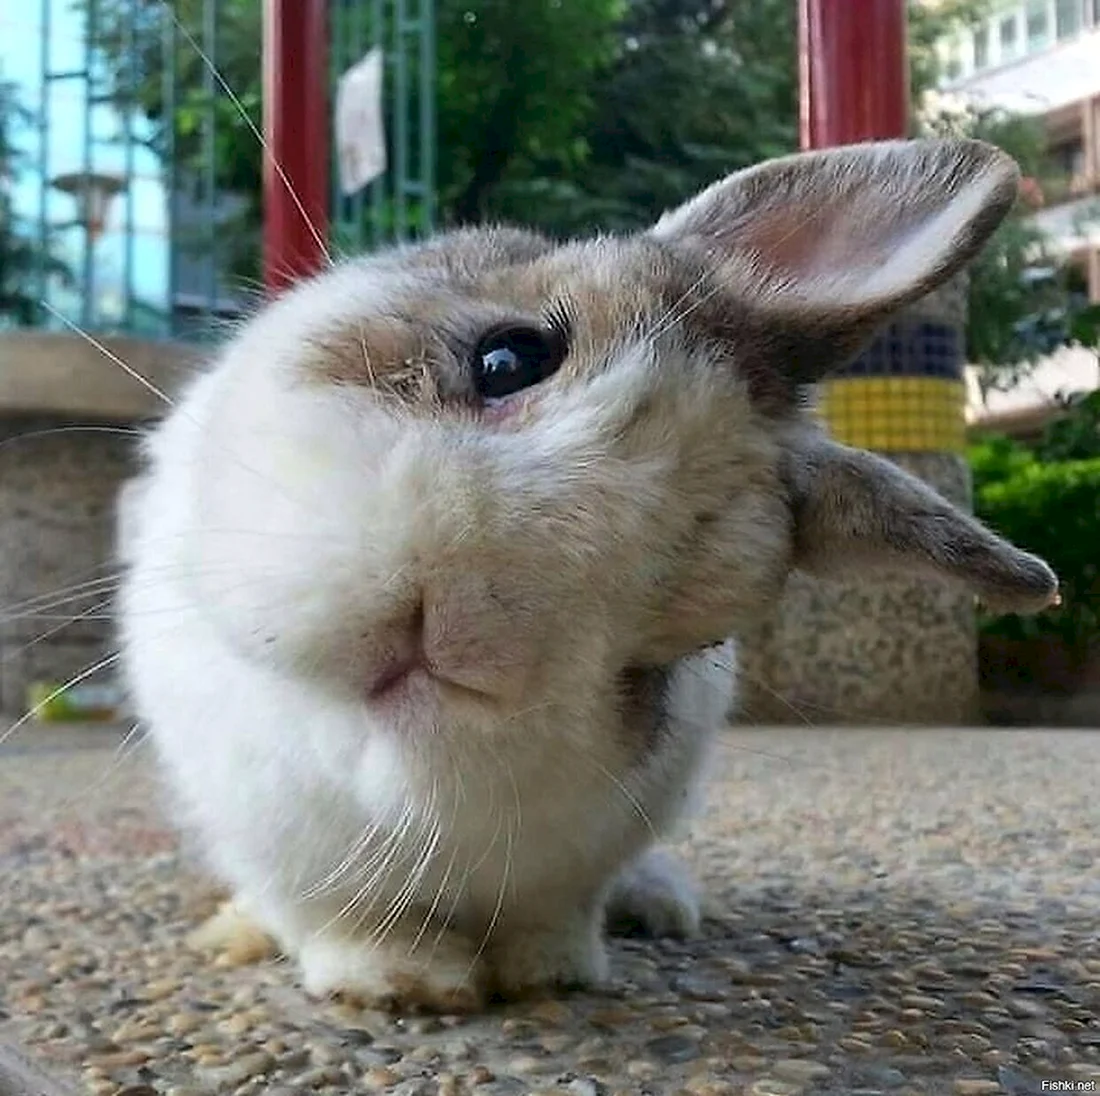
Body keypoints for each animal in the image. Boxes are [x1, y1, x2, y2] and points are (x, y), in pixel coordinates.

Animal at [117, 138, 1058, 1013]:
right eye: (509, 356)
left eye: (692, 632)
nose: (458, 631)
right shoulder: (270, 839)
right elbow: (329, 915)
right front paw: (401, 984)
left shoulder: (583, 854)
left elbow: (553, 918)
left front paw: (551, 975)